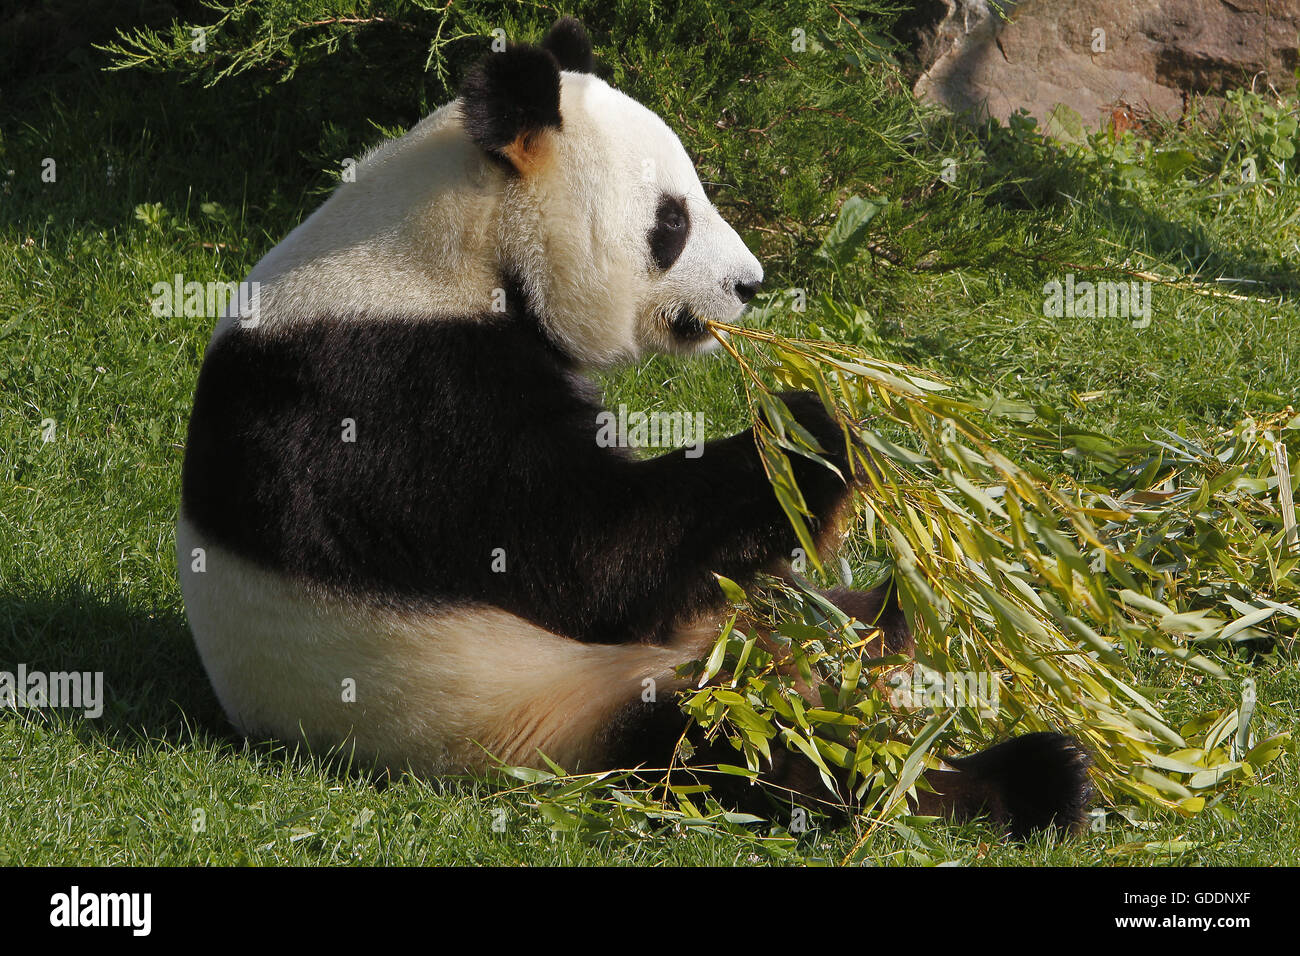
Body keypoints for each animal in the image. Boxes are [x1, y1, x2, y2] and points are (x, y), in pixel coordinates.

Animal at [170, 14, 1086, 837]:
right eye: (671, 221)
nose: (749, 285)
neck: (448, 246)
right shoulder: (392, 389)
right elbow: (585, 557)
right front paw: (808, 428)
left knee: (823, 630)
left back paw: (912, 628)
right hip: (542, 712)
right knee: (753, 747)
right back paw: (1014, 778)